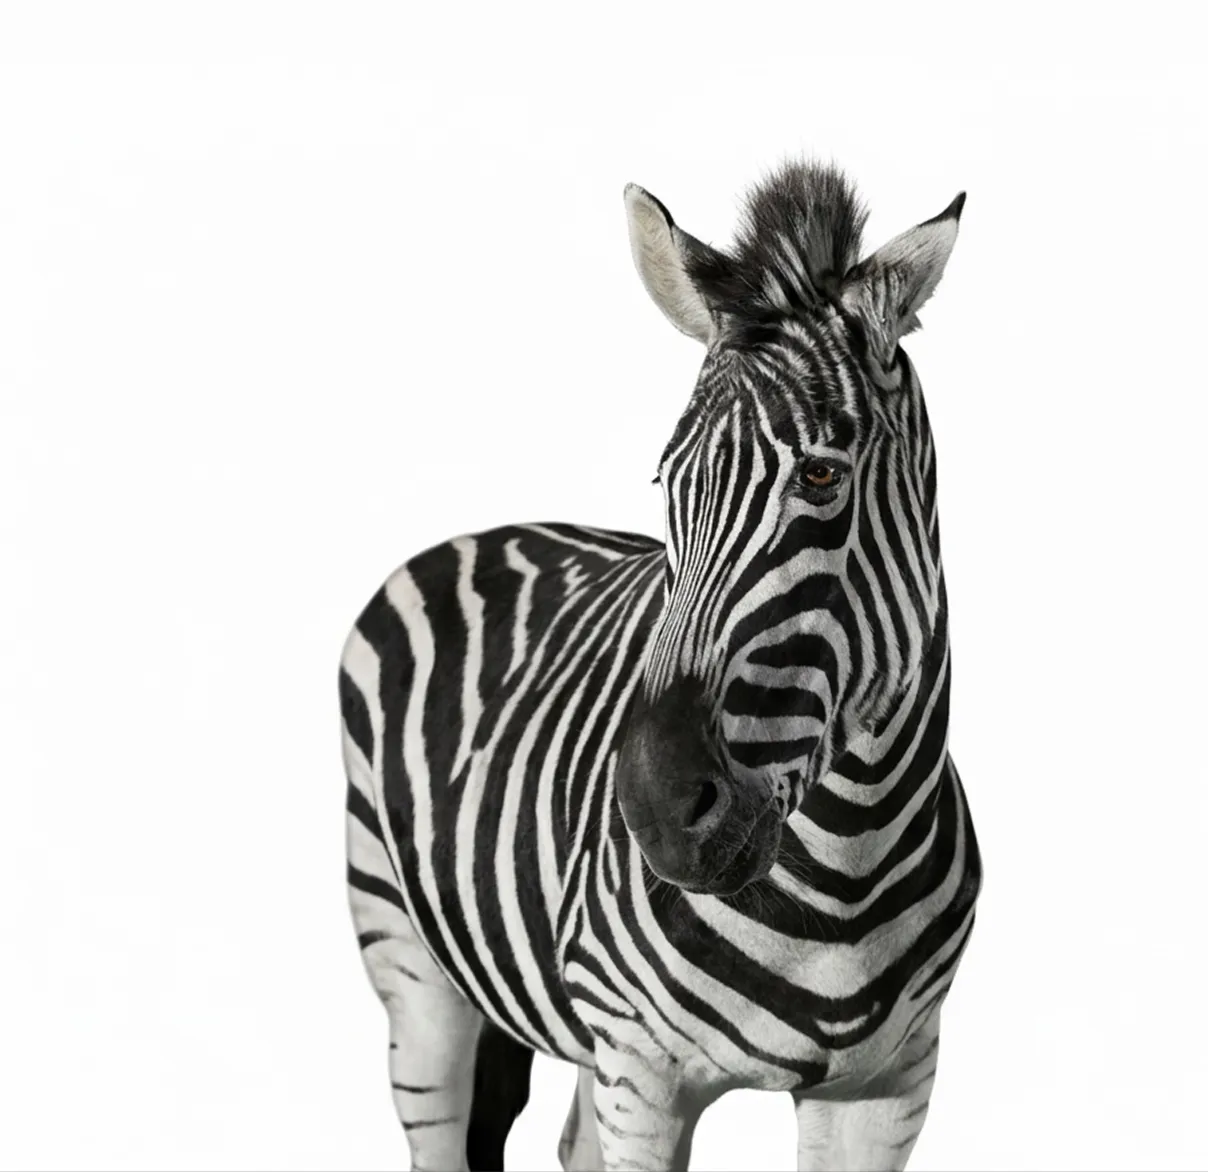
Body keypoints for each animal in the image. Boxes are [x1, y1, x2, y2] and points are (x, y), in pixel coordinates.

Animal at [340, 160, 981, 1172]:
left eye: (823, 477)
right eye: (667, 484)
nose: (652, 809)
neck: (845, 878)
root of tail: (487, 530)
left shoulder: (889, 1086)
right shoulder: (644, 1072)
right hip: (408, 958)